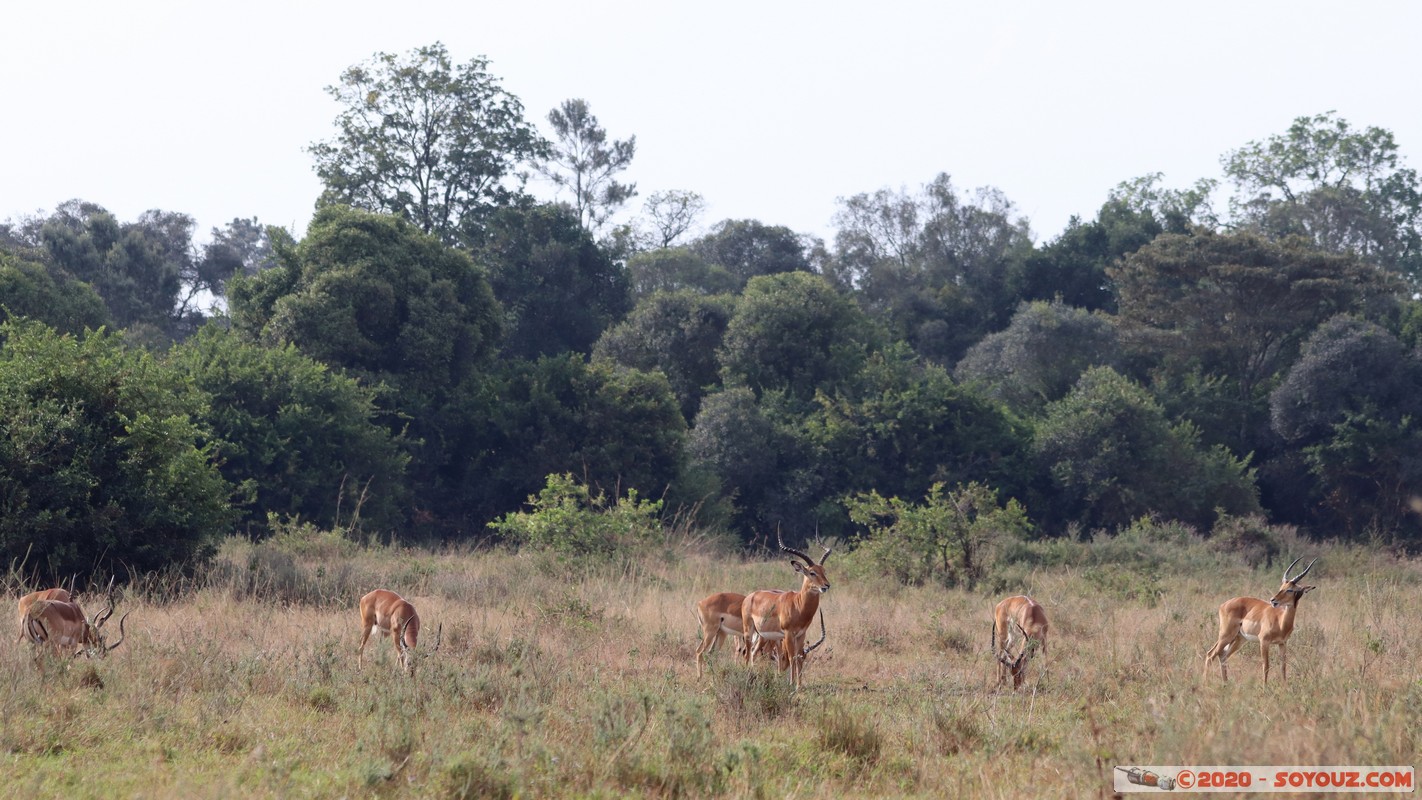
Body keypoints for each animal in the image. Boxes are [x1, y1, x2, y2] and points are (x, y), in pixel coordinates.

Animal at [745, 534, 830, 690]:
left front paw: (799, 685)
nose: (826, 585)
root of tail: (751, 596)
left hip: (762, 636)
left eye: (824, 571)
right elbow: (791, 657)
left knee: (754, 653)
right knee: (748, 652)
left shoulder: (801, 634)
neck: (798, 605)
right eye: (812, 572)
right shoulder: (789, 634)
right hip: (749, 631)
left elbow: (798, 657)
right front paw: (791, 684)